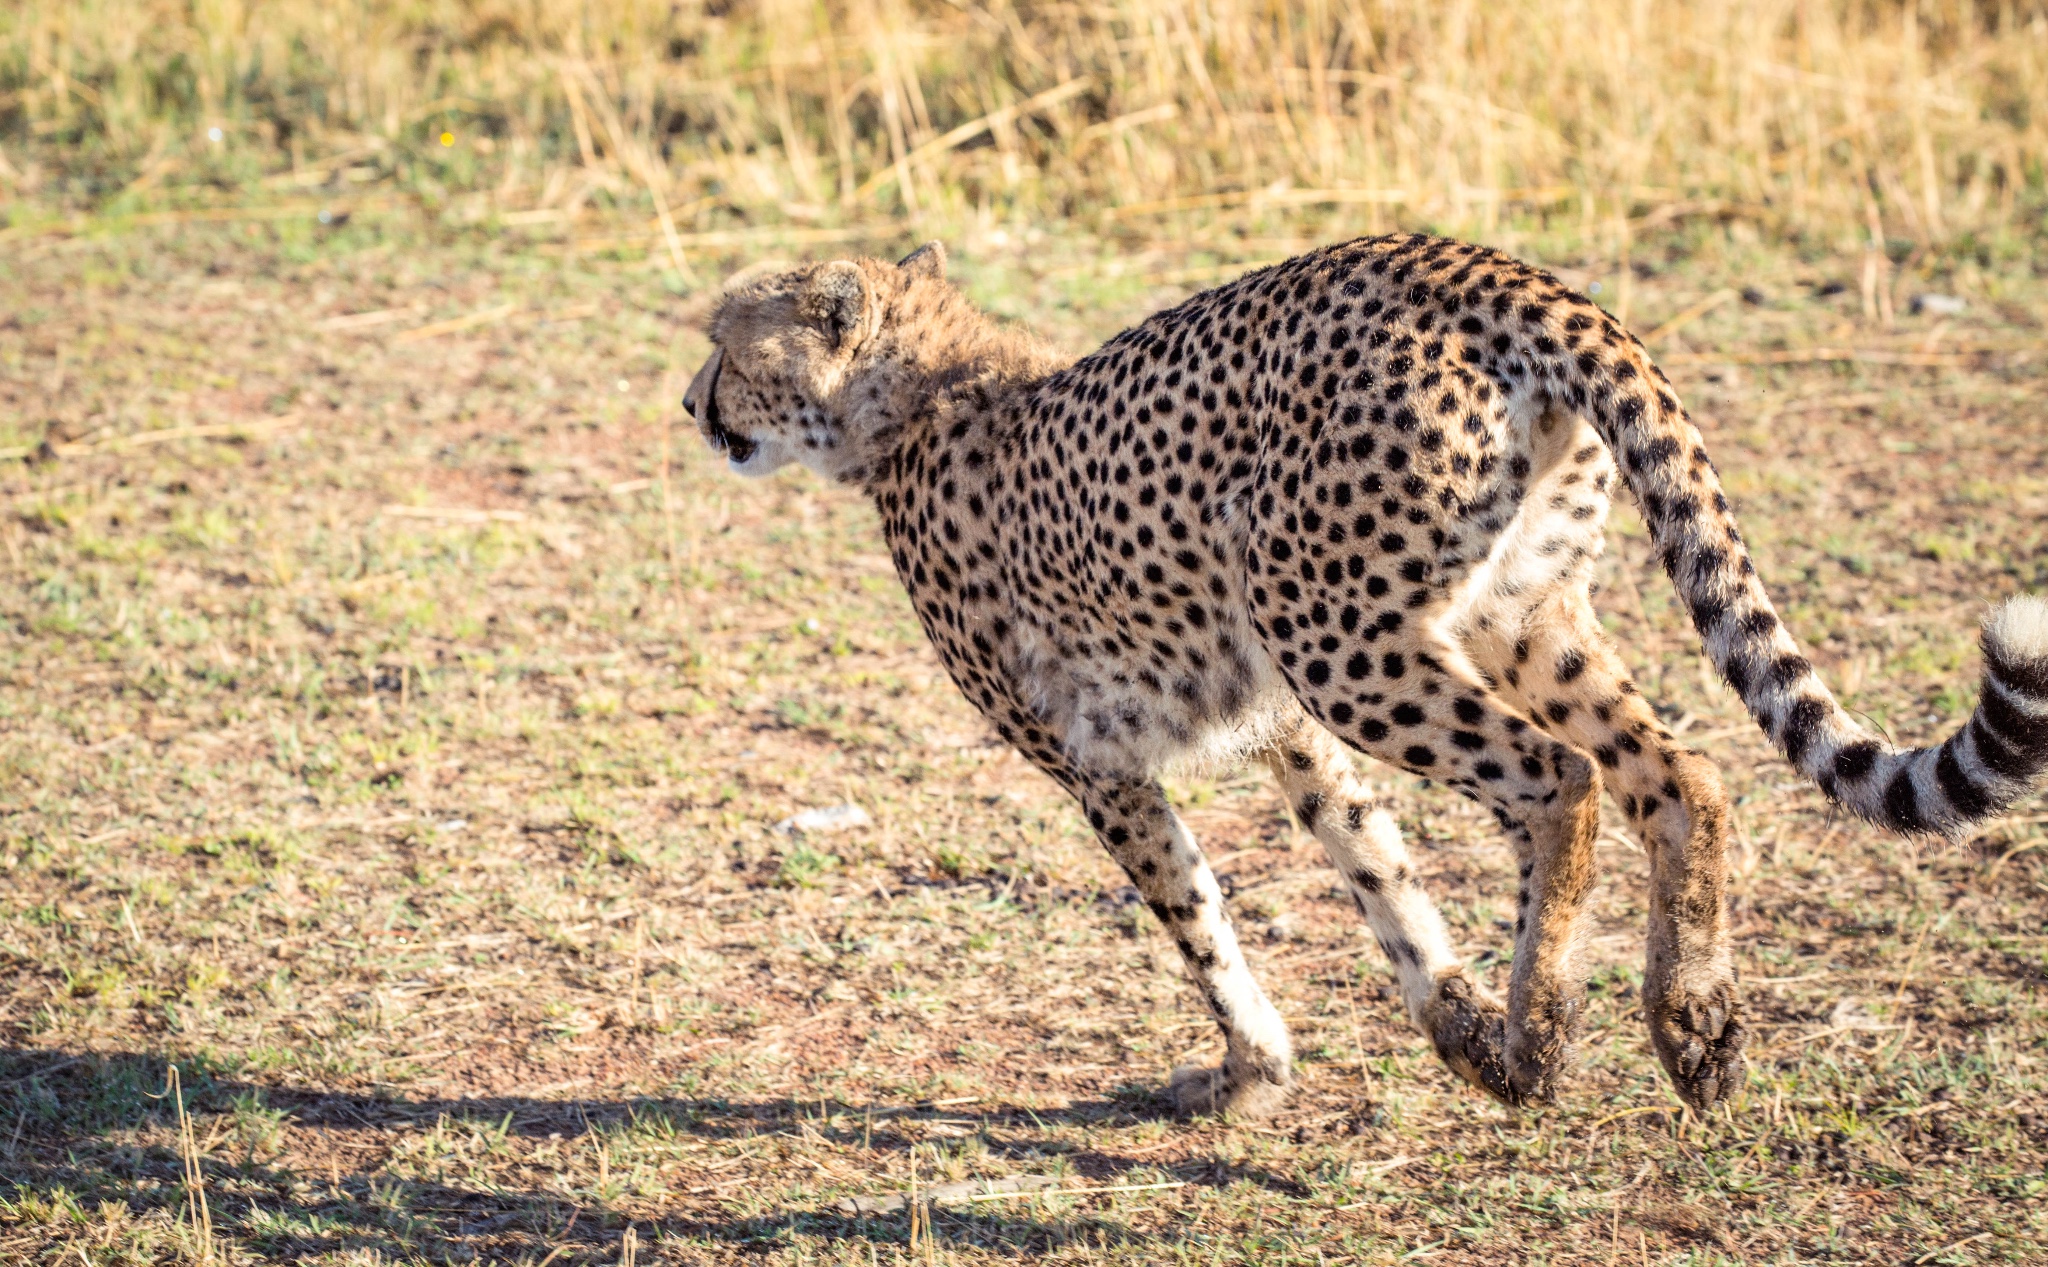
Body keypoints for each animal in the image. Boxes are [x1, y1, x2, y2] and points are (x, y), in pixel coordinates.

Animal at [692, 235, 2048, 1113]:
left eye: (724, 343)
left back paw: (1545, 1030)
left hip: (1343, 636)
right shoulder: (1282, 721)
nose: (693, 405)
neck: (916, 398)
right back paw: (1689, 1025)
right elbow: (1377, 870)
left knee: (1561, 782)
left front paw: (1254, 1072)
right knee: (1679, 773)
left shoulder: (1102, 759)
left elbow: (1195, 919)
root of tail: (1473, 263)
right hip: (1504, 612)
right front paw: (1455, 1032)